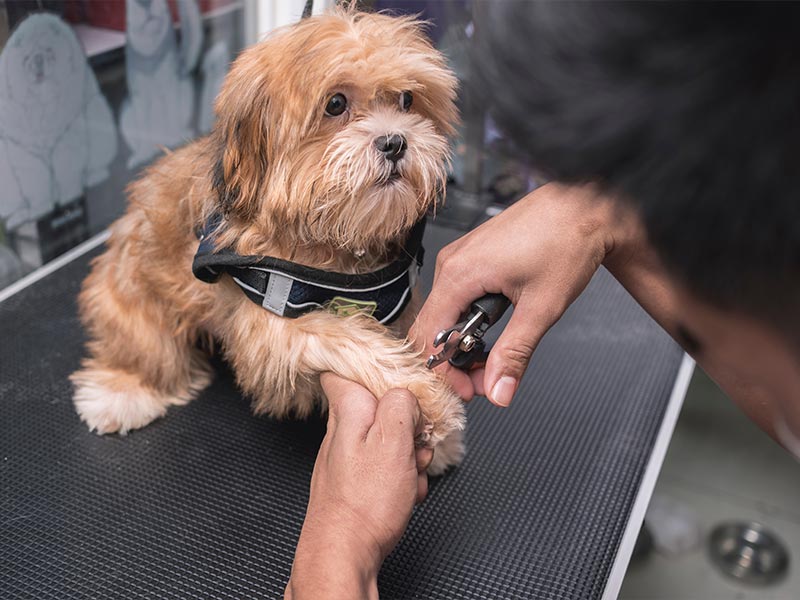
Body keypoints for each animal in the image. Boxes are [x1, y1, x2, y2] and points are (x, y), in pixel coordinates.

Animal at [73, 7, 468, 472]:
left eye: (407, 100)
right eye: (336, 103)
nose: (394, 142)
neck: (334, 239)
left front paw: (438, 440)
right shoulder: (273, 319)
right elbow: (351, 338)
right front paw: (427, 399)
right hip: (136, 295)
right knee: (146, 348)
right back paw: (123, 391)